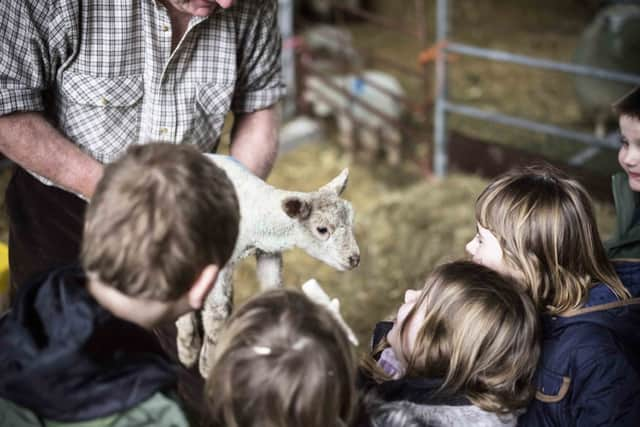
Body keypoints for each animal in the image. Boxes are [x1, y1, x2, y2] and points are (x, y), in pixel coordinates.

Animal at [175, 155, 360, 378]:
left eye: (352, 220)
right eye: (322, 229)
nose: (354, 259)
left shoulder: (269, 254)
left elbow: (273, 288)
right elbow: (217, 311)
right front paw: (208, 365)